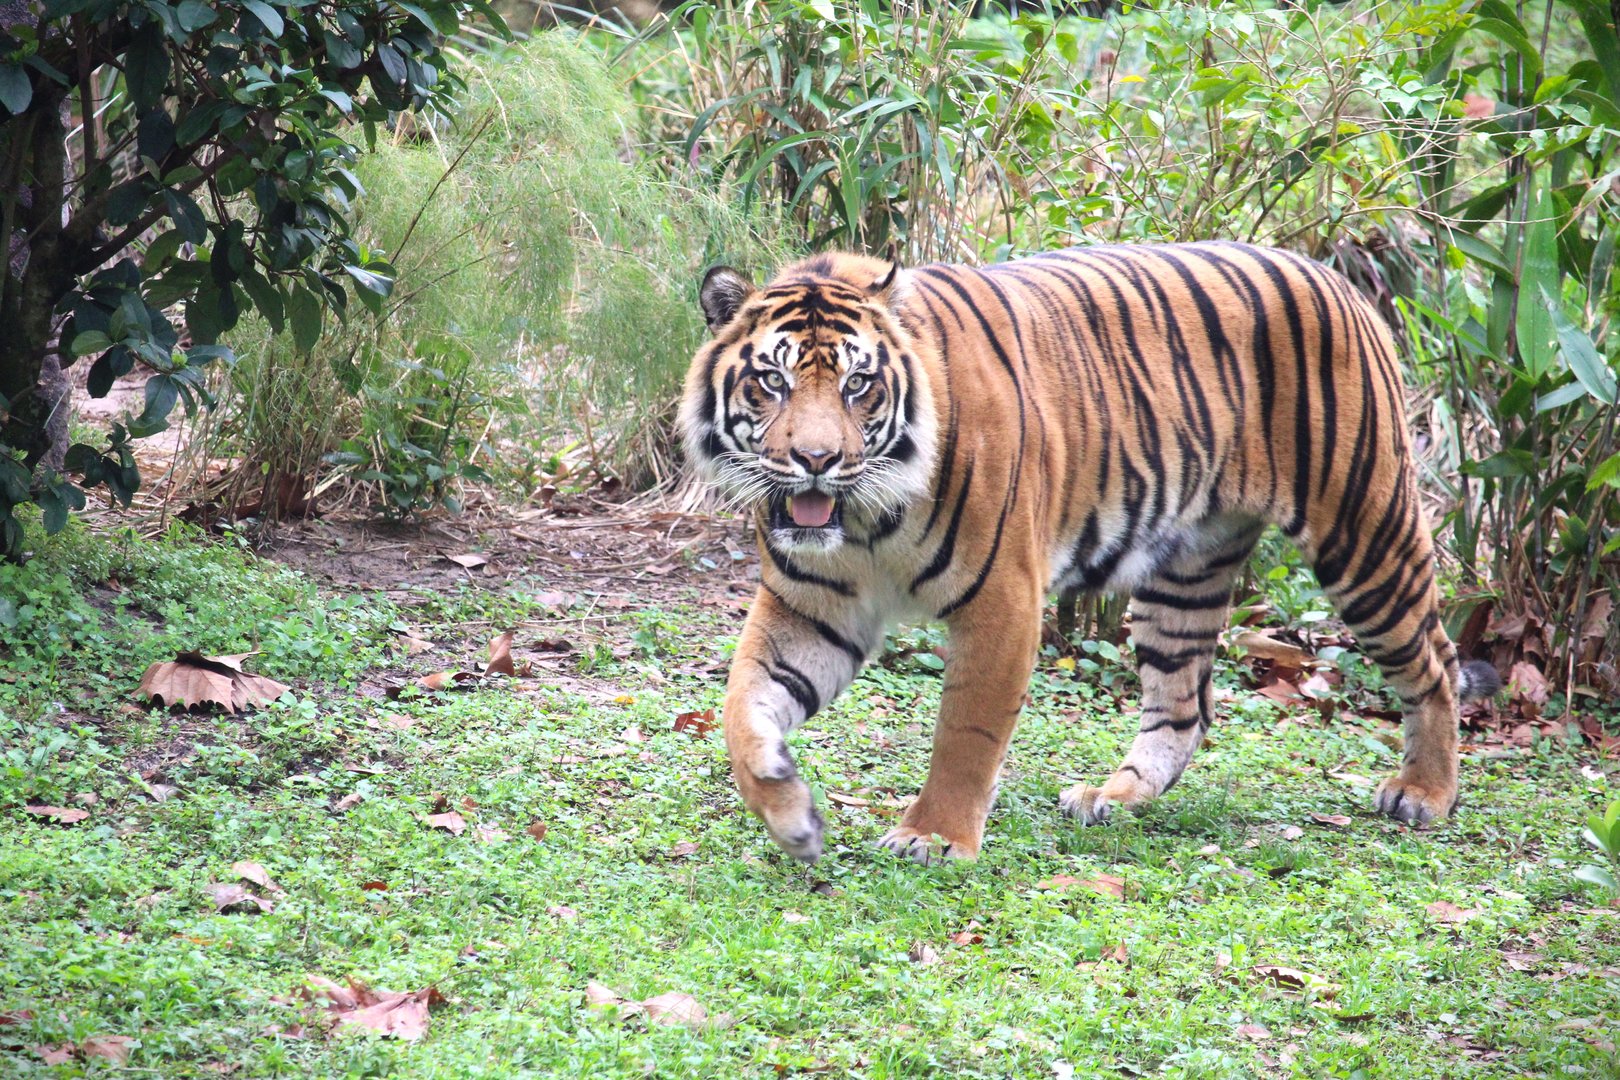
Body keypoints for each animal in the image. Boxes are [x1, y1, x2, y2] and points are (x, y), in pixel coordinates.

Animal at [679, 241, 1501, 865]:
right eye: (772, 380)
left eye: (859, 384)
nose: (816, 461)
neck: (863, 520)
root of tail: (1336, 276)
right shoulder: (808, 608)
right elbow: (741, 704)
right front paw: (787, 809)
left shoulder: (1004, 601)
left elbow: (966, 732)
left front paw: (933, 838)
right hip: (1184, 572)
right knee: (1183, 705)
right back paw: (1114, 796)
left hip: (1364, 533)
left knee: (1433, 660)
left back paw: (1424, 794)